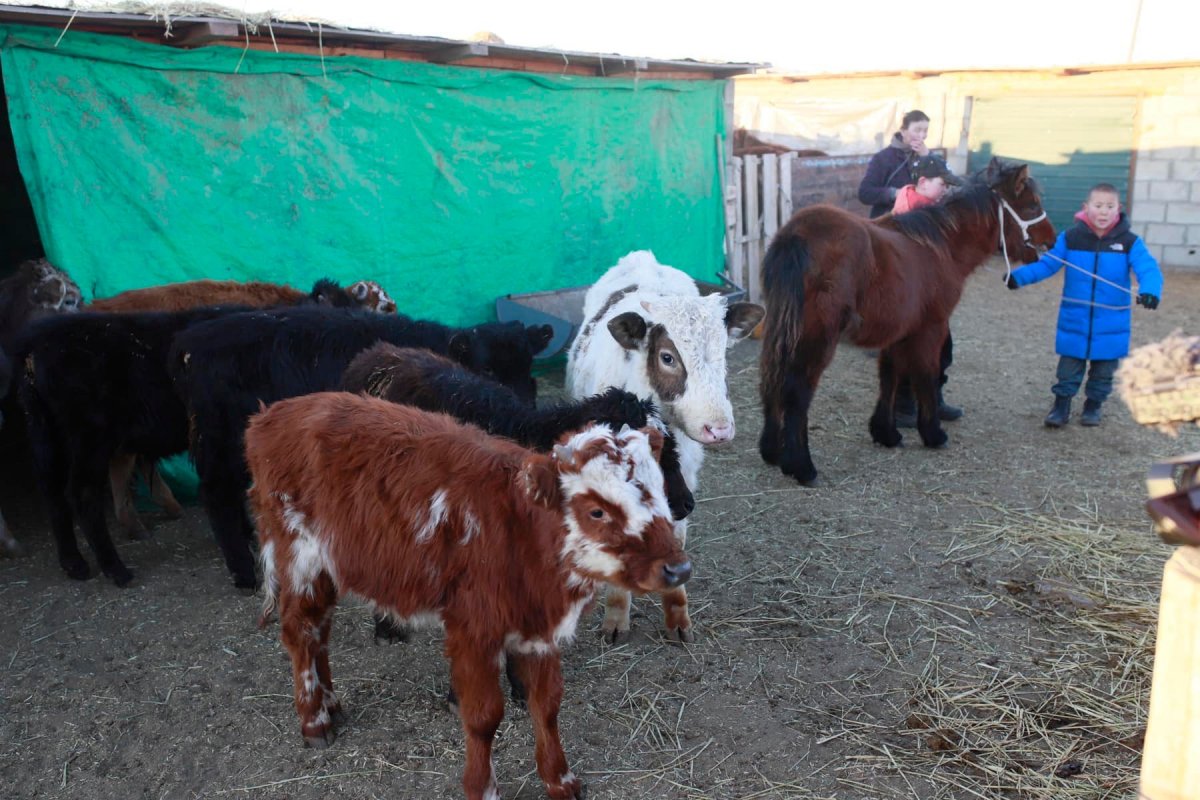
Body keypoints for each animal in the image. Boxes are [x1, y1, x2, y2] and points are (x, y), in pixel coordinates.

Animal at [758, 158, 1056, 485]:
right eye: (1031, 205)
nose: (1052, 239)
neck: (941, 246)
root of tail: (796, 234)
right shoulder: (931, 329)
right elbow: (926, 375)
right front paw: (933, 433)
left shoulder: (899, 332)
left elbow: (890, 377)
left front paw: (885, 432)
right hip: (816, 337)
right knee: (796, 389)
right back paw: (801, 466)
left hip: (782, 329)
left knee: (772, 377)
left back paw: (772, 451)